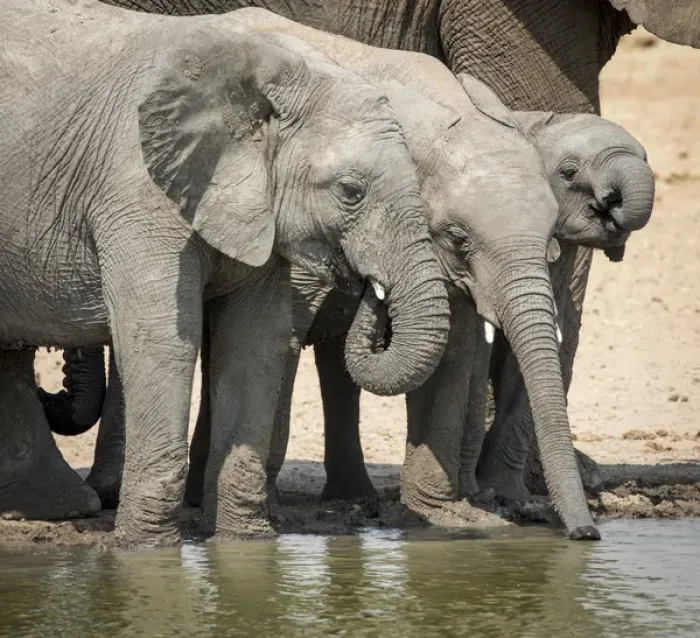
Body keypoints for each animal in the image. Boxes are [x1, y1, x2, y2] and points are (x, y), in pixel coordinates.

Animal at [0, 0, 452, 545]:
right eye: (350, 191)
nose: (369, 288)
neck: (272, 74)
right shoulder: (135, 191)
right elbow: (162, 339)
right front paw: (144, 551)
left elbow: (256, 342)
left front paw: (245, 544)